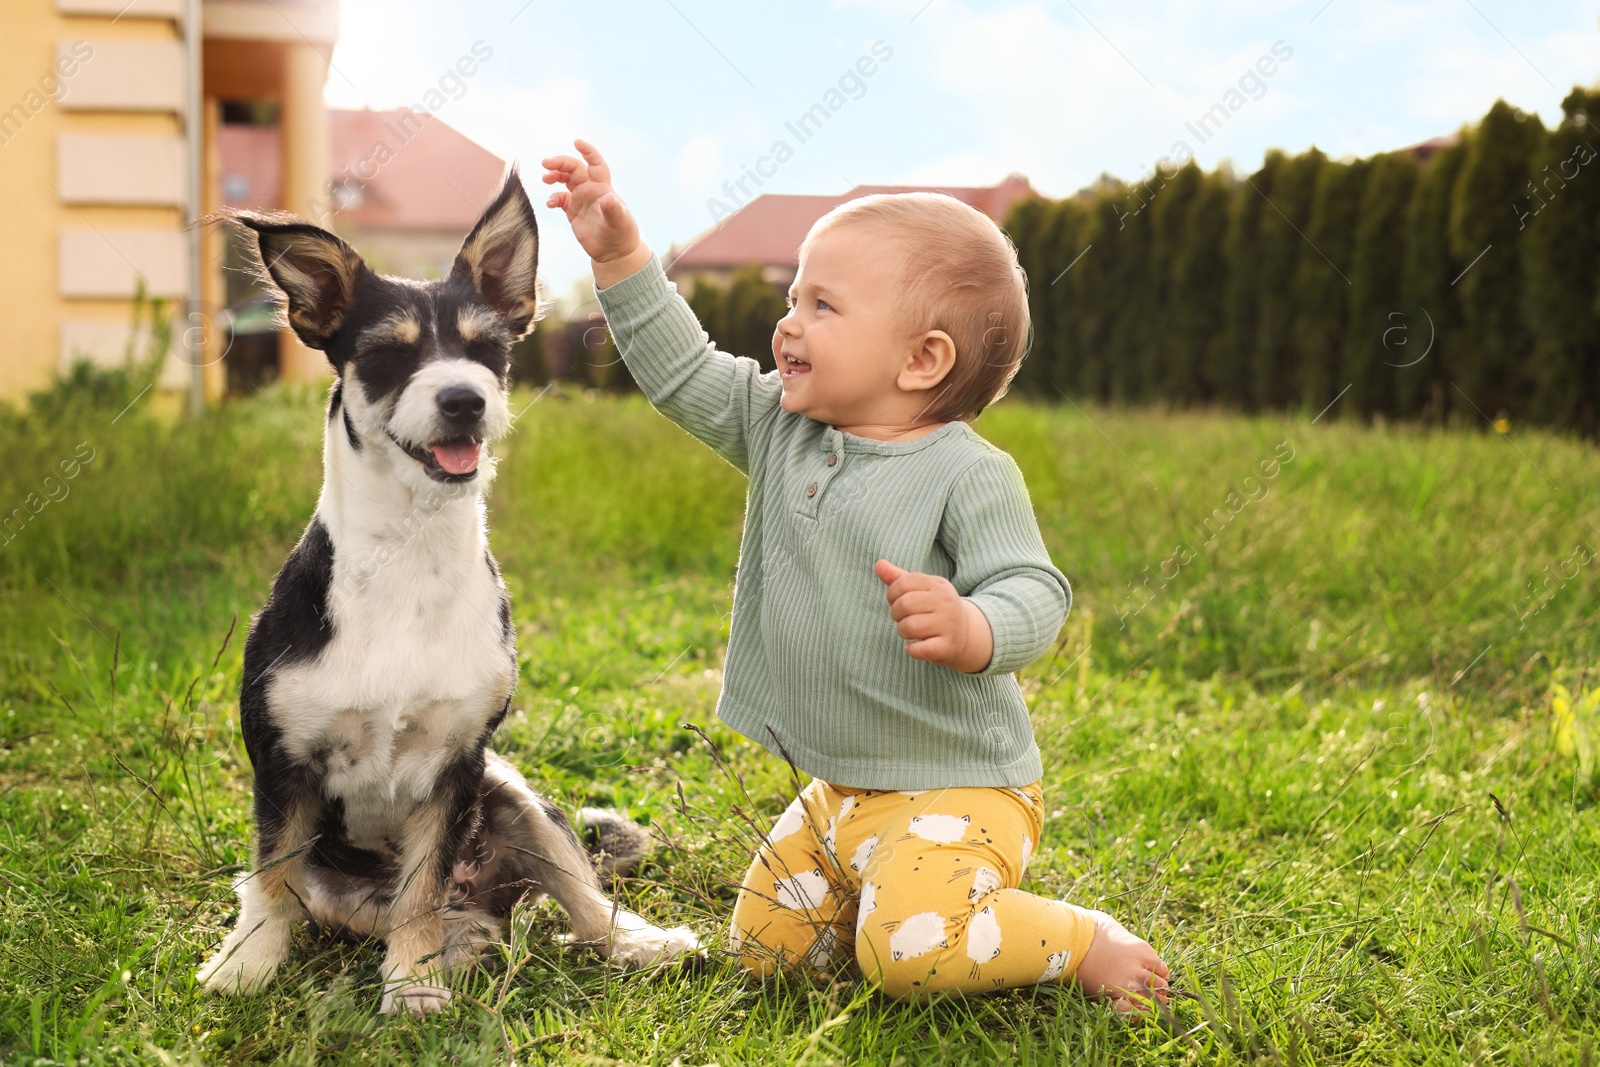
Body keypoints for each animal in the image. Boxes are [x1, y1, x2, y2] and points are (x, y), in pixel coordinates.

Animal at [196, 168, 697, 1017]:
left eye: (488, 349)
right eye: (387, 355)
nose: (464, 397)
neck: (410, 554)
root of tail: (490, 897)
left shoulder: (457, 766)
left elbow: (422, 886)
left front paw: (413, 982)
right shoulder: (283, 763)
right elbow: (272, 874)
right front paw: (247, 963)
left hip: (514, 792)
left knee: (577, 894)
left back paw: (635, 941)